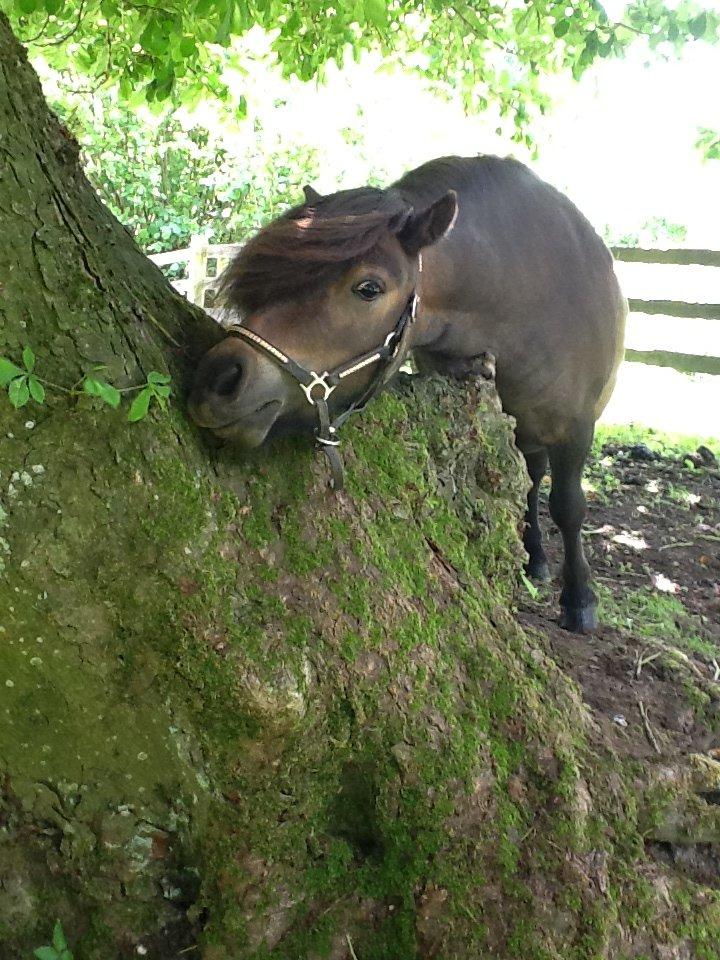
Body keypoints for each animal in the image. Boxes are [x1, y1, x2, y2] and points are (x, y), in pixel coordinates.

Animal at [190, 154, 624, 632]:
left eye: (368, 288)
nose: (218, 379)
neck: (524, 293)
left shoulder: (579, 427)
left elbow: (569, 506)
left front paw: (580, 598)